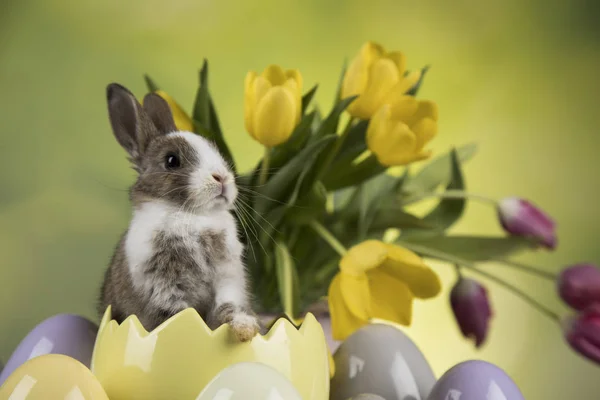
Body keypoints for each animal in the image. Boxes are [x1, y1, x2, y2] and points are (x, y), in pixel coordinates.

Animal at [96, 83, 260, 342]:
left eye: (216, 151)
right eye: (172, 160)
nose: (222, 177)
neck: (193, 217)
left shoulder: (228, 278)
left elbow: (229, 307)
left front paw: (245, 329)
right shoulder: (163, 288)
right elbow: (182, 317)